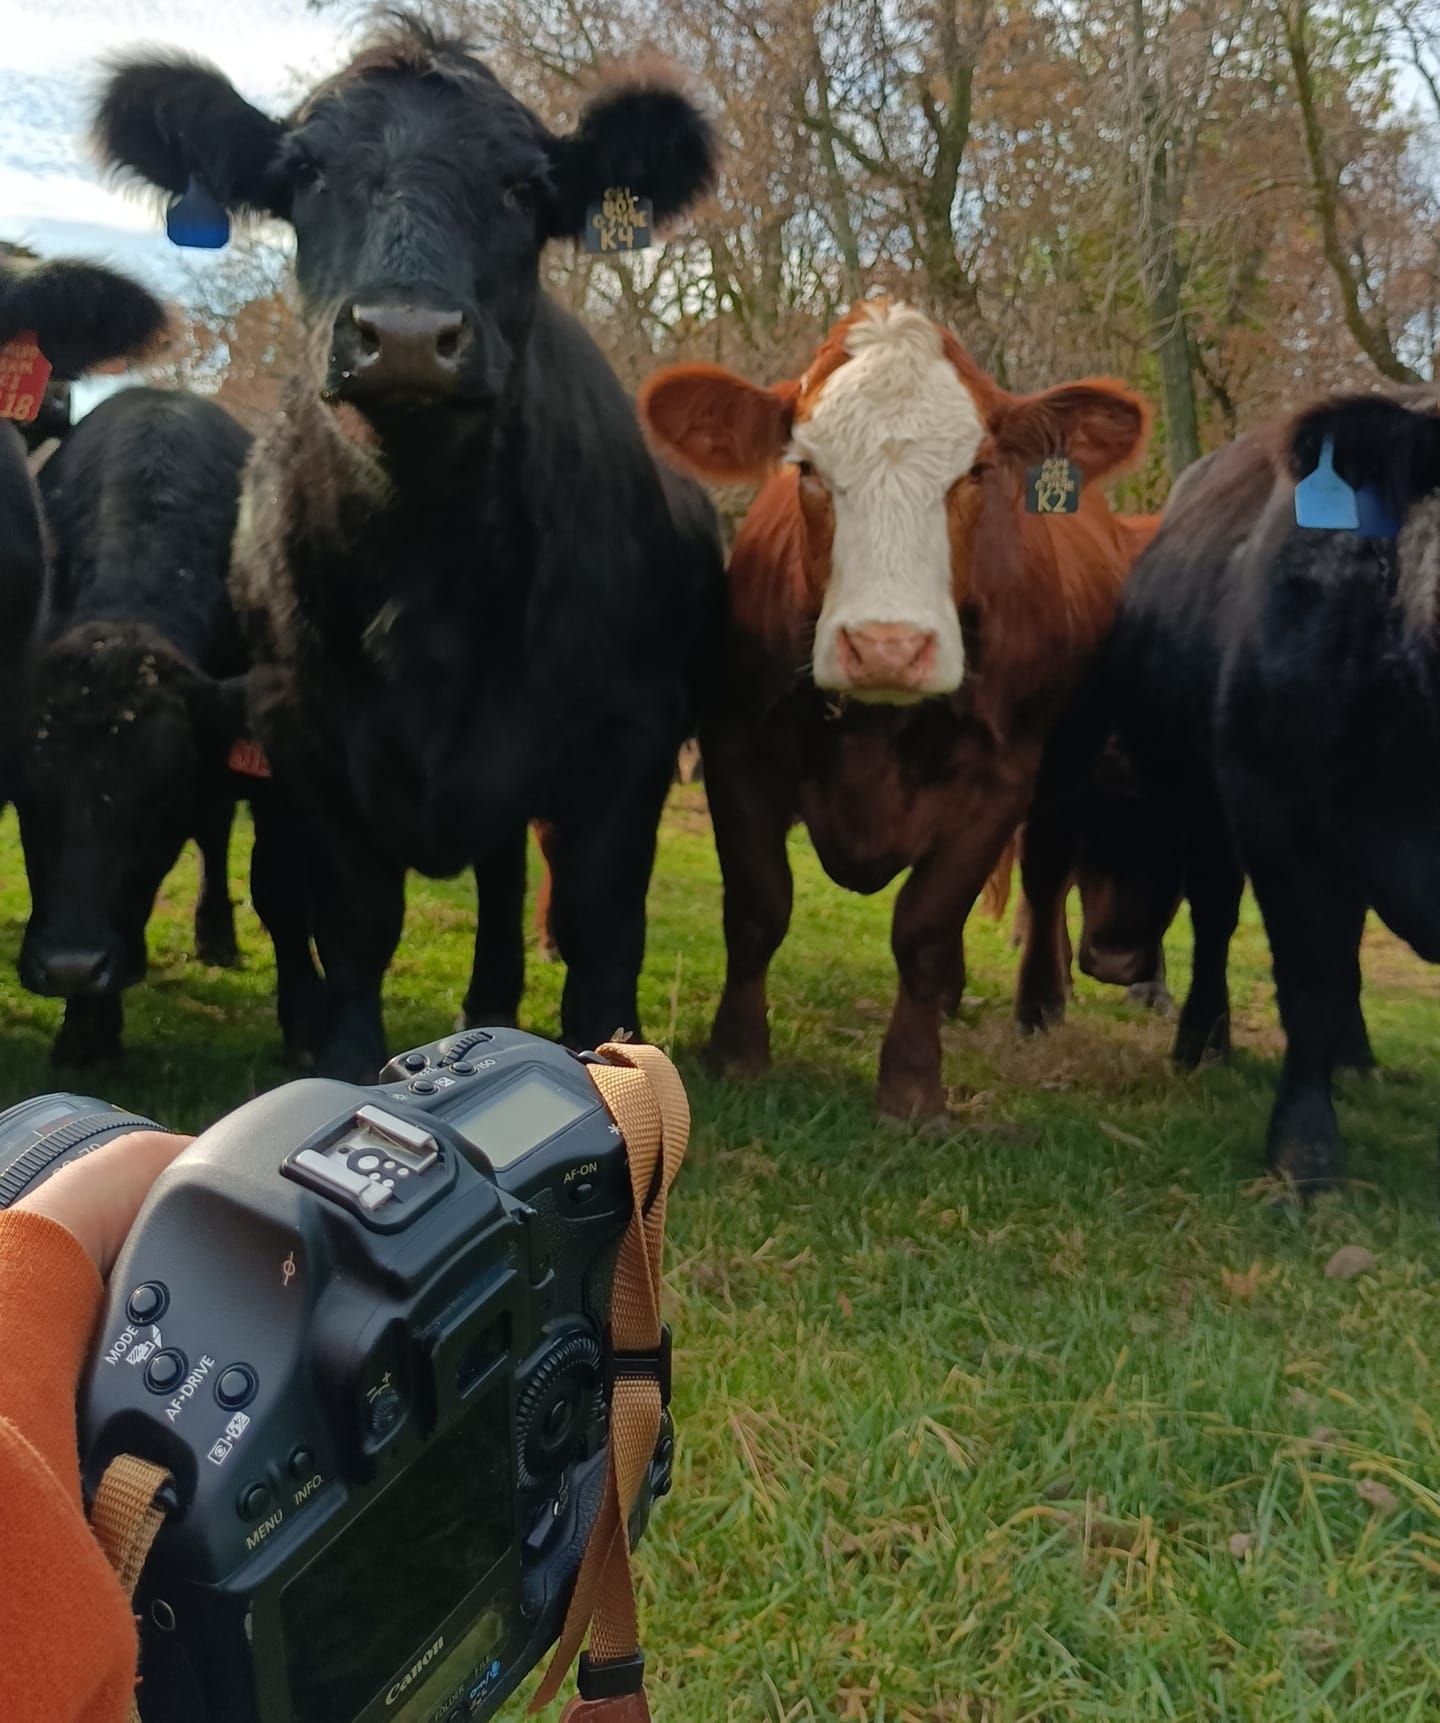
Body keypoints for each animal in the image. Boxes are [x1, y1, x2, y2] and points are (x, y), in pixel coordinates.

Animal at [17, 387, 322, 1066]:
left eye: (159, 796)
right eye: (27, 796)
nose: (72, 966)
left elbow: (282, 889)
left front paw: (309, 1029)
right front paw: (87, 1028)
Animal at [95, 15, 725, 1082]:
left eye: (523, 186)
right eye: (304, 173)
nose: (403, 334)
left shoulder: (629, 743)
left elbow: (600, 936)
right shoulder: (304, 738)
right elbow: (353, 926)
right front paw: (344, 1062)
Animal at [638, 300, 1152, 1120]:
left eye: (977, 471)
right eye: (807, 468)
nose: (887, 645)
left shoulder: (1000, 779)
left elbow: (927, 926)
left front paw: (912, 1086)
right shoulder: (735, 746)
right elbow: (757, 905)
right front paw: (737, 1053)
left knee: (1043, 883)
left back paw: (1039, 1003)